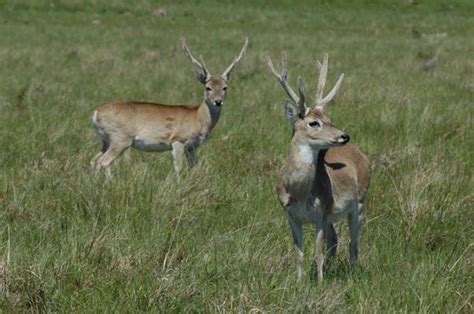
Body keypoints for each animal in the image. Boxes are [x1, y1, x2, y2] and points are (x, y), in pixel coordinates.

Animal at [90, 37, 250, 175]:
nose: (218, 101)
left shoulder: (192, 146)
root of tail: (96, 113)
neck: (198, 117)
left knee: (94, 161)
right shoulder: (178, 139)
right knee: (104, 162)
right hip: (121, 138)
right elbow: (178, 168)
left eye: (225, 87)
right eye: (208, 87)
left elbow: (193, 167)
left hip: (106, 140)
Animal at [266, 52, 370, 282]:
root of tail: (362, 155)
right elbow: (299, 254)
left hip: (359, 203)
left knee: (353, 244)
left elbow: (318, 252)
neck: (300, 192)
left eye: (329, 119)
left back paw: (351, 275)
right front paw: (299, 282)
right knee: (336, 240)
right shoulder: (291, 215)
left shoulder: (321, 214)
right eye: (314, 123)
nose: (344, 136)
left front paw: (320, 283)